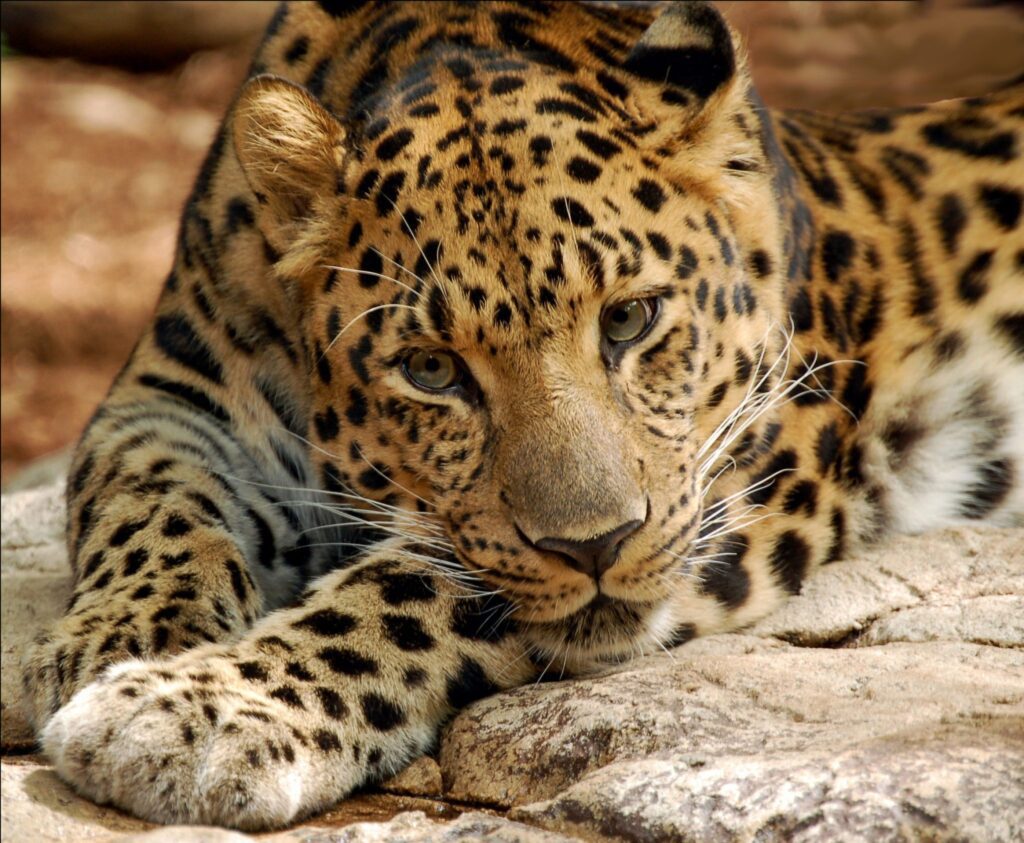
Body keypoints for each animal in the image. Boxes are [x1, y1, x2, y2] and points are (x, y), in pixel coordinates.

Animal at [21, 0, 1024, 831]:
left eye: (630, 318)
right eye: (431, 369)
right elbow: (146, 497)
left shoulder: (750, 457)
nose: (597, 546)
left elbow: (408, 591)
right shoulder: (174, 390)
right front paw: (116, 638)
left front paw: (192, 710)